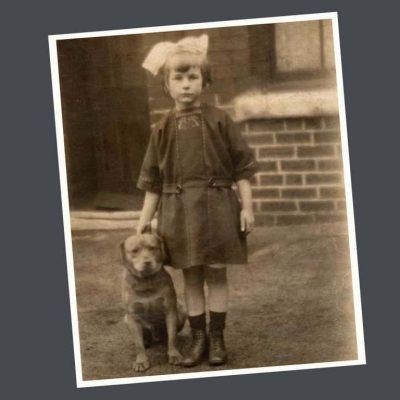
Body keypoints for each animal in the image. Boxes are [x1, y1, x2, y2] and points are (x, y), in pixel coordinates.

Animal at [120, 231, 186, 372]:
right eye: (134, 251)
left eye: (152, 248)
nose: (147, 262)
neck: (146, 281)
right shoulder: (132, 316)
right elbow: (138, 344)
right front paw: (141, 361)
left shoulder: (170, 311)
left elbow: (172, 337)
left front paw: (174, 354)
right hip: (126, 318)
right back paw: (146, 341)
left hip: (182, 311)